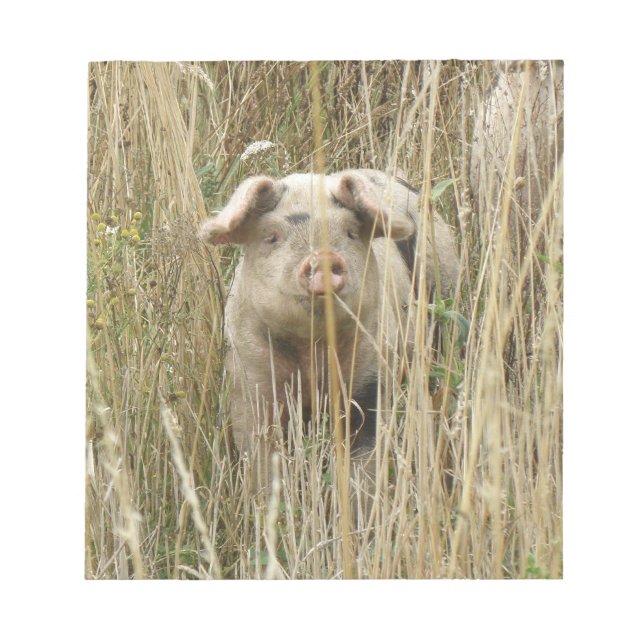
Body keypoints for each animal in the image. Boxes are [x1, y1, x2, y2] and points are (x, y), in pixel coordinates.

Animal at [199, 169, 459, 495]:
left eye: (350, 232)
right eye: (272, 237)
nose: (323, 257)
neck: (311, 350)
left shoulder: (371, 375)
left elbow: (363, 461)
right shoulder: (249, 380)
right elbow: (262, 458)